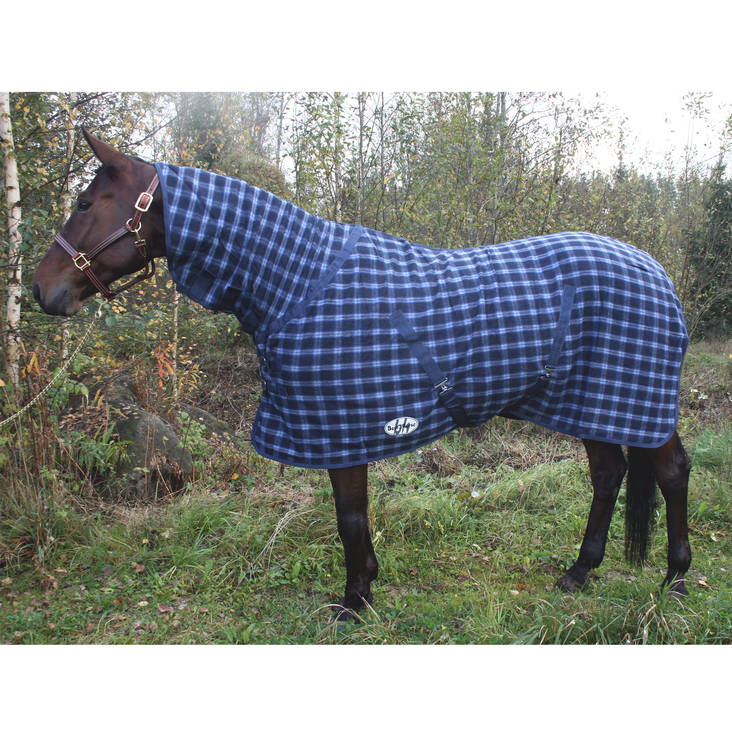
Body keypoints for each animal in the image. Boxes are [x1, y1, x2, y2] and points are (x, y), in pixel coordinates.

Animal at [33, 129, 692, 620]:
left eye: (86, 203)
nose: (42, 290)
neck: (297, 283)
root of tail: (655, 271)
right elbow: (352, 519)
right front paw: (364, 591)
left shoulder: (342, 430)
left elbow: (350, 519)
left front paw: (355, 602)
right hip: (595, 403)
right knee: (608, 475)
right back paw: (580, 572)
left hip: (637, 403)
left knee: (671, 473)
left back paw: (677, 582)